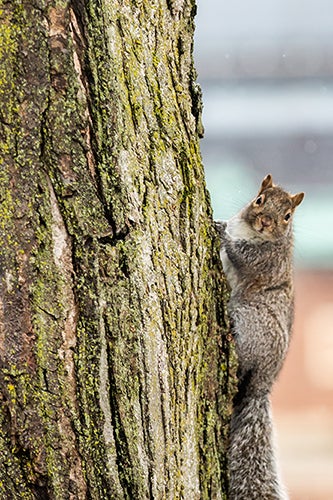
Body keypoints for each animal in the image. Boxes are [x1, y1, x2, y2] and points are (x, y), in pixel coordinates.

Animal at [215, 175, 304, 500]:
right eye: (259, 200)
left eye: (288, 216)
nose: (266, 221)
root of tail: (265, 381)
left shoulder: (266, 260)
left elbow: (243, 256)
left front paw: (221, 233)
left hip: (250, 319)